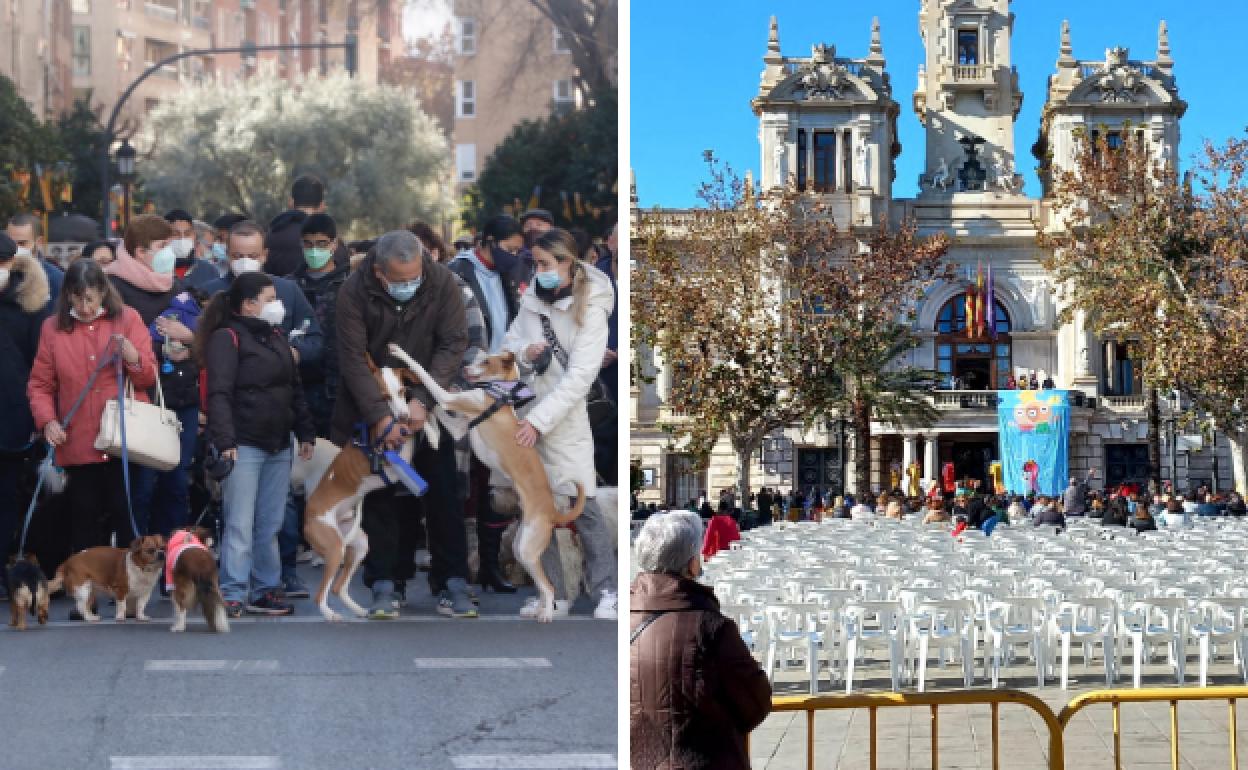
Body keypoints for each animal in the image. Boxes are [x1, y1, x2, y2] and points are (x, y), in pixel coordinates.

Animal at [300, 351, 434, 618]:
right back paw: (330, 614)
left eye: (403, 390)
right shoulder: (394, 465)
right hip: (333, 548)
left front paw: (432, 433)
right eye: (383, 397)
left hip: (359, 545)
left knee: (337, 588)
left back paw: (361, 611)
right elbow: (407, 433)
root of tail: (307, 516)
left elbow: (419, 424)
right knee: (321, 594)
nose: (403, 415)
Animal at [386, 344, 586, 621]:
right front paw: (430, 433)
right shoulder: (459, 427)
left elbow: (426, 377)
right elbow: (433, 412)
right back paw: (536, 610)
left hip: (527, 548)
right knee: (543, 584)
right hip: (521, 546)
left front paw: (400, 353)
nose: (463, 368)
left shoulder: (452, 402)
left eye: (486, 361)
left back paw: (545, 614)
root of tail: (553, 514)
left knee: (549, 586)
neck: (500, 392)